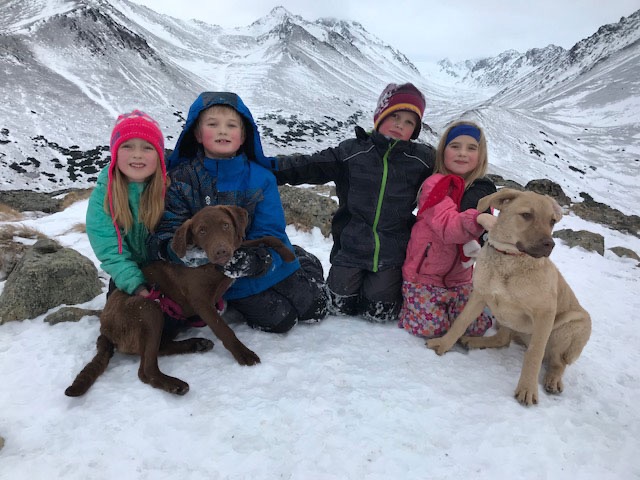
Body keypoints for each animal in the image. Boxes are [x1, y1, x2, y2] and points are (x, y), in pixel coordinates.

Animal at [65, 204, 296, 396]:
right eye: (202, 231)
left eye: (226, 225)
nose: (221, 251)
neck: (210, 265)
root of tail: (105, 329)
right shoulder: (202, 303)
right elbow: (224, 330)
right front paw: (243, 354)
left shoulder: (236, 247)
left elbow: (265, 238)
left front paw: (286, 254)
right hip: (147, 309)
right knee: (145, 370)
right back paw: (174, 383)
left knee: (159, 348)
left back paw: (196, 344)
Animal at [428, 189, 592, 406]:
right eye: (526, 215)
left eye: (552, 221)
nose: (550, 245)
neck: (509, 259)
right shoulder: (480, 295)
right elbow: (460, 322)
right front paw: (443, 344)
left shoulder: (545, 314)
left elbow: (534, 353)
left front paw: (527, 389)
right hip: (504, 317)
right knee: (503, 339)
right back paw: (475, 341)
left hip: (575, 325)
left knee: (558, 362)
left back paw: (552, 380)